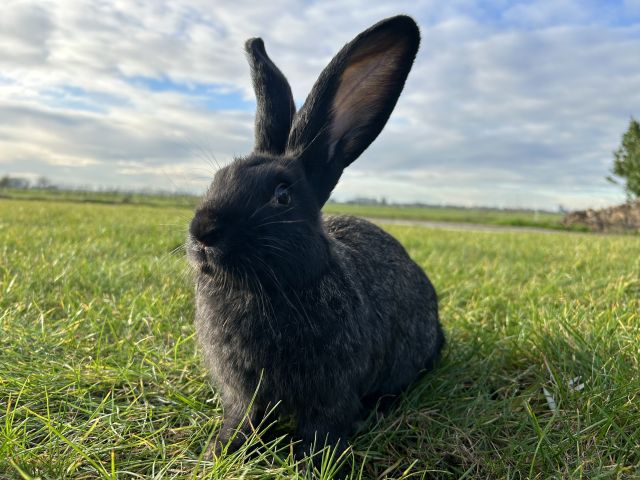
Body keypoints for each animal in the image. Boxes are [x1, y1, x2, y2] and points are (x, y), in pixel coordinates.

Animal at [188, 14, 442, 458]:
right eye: (217, 179)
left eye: (282, 195)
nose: (203, 232)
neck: (259, 290)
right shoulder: (242, 393)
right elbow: (242, 419)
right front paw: (218, 452)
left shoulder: (331, 394)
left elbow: (323, 429)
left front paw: (310, 460)